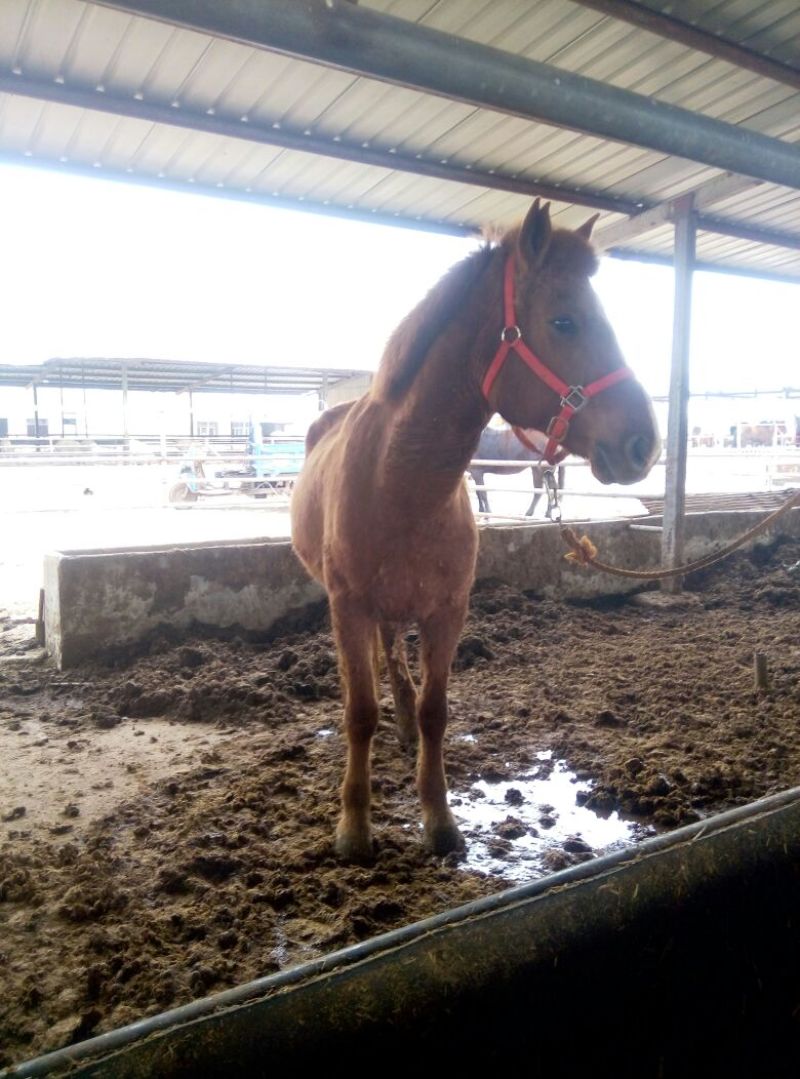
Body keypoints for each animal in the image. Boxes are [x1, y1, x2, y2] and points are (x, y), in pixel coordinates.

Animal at [291, 199, 660, 861]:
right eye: (564, 321)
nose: (644, 443)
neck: (402, 486)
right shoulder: (348, 607)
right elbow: (358, 712)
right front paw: (353, 829)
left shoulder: (448, 610)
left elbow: (436, 710)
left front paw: (439, 820)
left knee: (396, 660)